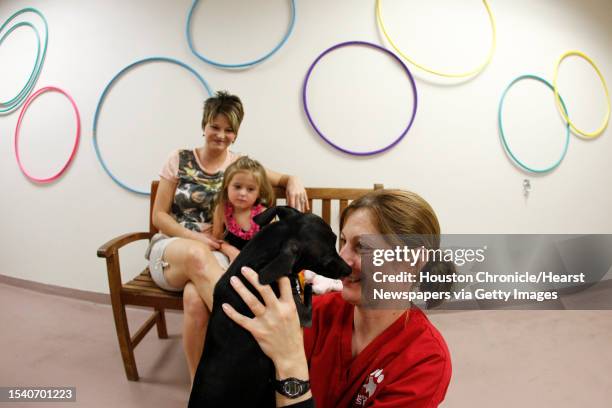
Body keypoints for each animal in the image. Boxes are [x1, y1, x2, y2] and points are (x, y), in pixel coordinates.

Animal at [188, 207, 350, 408]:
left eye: (336, 240)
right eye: (325, 259)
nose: (349, 269)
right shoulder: (303, 314)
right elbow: (306, 295)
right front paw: (308, 283)